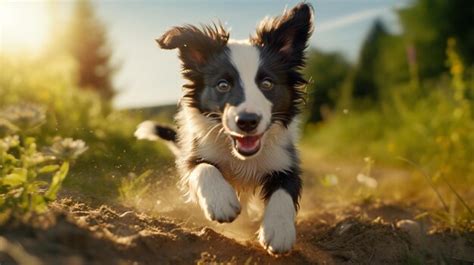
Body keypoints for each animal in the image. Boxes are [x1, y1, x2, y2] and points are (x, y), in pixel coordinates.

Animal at [135, 2, 312, 254]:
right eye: (222, 85)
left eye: (267, 83)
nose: (247, 121)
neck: (242, 158)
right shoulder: (195, 152)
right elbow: (203, 168)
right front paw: (221, 202)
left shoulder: (285, 160)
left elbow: (284, 191)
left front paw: (279, 231)